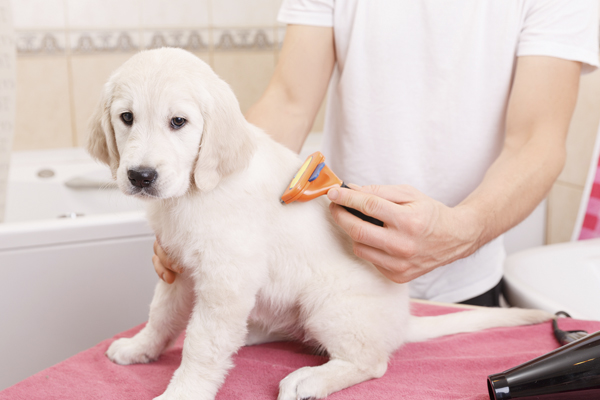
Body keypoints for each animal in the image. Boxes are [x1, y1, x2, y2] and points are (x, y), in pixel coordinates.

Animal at [89, 47, 552, 400]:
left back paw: (310, 379)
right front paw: (140, 348)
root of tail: (402, 324)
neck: (194, 192)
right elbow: (161, 315)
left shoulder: (225, 281)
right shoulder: (179, 269)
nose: (141, 176)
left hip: (329, 306)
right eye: (127, 118)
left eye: (178, 122)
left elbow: (202, 345)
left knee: (372, 361)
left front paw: (183, 392)